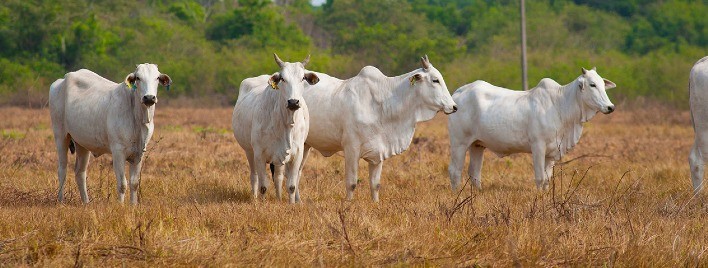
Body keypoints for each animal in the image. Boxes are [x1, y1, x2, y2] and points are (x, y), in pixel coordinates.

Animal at [49, 63, 171, 204]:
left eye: (157, 77)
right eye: (138, 78)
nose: (149, 98)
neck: (138, 118)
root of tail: (62, 80)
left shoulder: (139, 153)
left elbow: (134, 183)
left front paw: (133, 205)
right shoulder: (118, 151)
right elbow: (122, 184)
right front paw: (121, 206)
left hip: (82, 144)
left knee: (80, 173)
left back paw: (86, 202)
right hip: (60, 135)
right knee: (62, 170)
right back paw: (60, 201)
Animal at [234, 53, 320, 202]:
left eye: (303, 78)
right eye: (283, 79)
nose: (293, 102)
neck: (285, 124)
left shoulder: (297, 154)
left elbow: (291, 186)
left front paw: (291, 204)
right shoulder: (259, 154)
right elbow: (263, 186)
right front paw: (262, 203)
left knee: (278, 177)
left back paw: (279, 198)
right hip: (249, 151)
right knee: (254, 176)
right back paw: (254, 198)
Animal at [300, 56, 460, 201]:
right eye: (435, 80)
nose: (454, 106)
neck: (381, 103)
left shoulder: (379, 151)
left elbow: (375, 185)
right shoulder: (351, 148)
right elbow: (351, 183)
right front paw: (348, 204)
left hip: (305, 145)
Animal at [448, 68, 612, 189]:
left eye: (603, 85)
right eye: (592, 84)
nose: (610, 107)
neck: (560, 105)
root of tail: (458, 93)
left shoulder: (552, 152)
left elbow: (547, 179)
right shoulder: (538, 146)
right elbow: (540, 178)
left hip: (477, 145)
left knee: (474, 173)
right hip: (459, 143)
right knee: (455, 171)